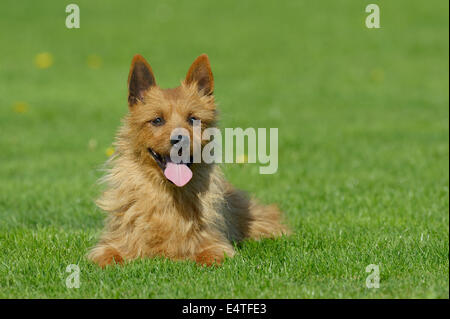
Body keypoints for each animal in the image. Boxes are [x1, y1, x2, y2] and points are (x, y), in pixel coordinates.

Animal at [88, 53, 290, 268]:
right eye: (157, 120)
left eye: (193, 119)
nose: (180, 139)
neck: (169, 196)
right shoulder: (113, 243)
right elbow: (108, 256)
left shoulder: (216, 244)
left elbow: (210, 254)